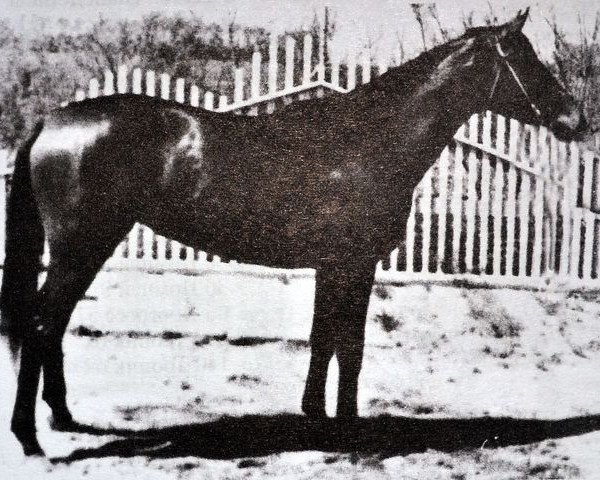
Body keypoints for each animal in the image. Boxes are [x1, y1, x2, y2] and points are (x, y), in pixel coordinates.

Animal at [0, 9, 584, 456]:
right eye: (522, 57)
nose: (574, 119)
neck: (368, 140)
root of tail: (51, 120)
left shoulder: (334, 267)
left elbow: (324, 340)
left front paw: (317, 417)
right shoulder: (353, 265)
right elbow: (350, 345)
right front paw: (348, 429)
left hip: (85, 250)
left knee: (52, 326)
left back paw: (63, 418)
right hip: (80, 248)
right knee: (42, 324)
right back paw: (30, 438)